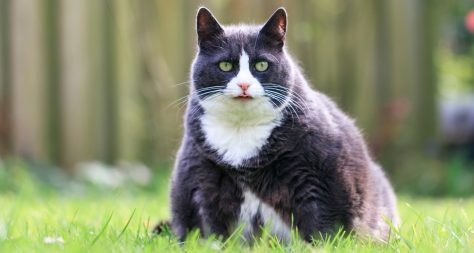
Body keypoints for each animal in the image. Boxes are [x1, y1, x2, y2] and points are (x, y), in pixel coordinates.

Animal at [165, 6, 398, 242]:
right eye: (225, 65)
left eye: (261, 65)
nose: (243, 85)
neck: (242, 129)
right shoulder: (202, 177)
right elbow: (209, 225)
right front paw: (212, 243)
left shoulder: (312, 176)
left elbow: (320, 220)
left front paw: (317, 245)